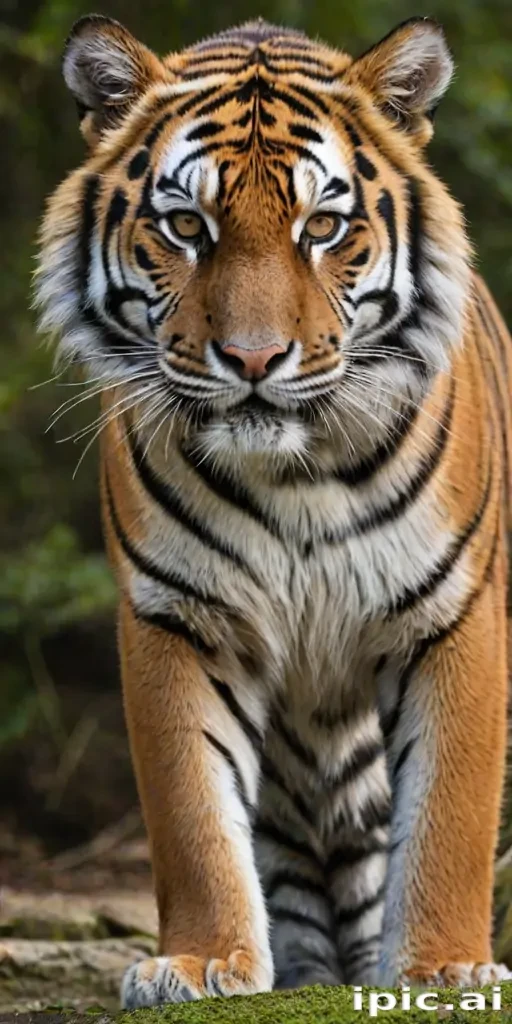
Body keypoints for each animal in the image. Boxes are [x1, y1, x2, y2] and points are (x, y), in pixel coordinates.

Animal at [36, 11, 512, 1007]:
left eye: (323, 227)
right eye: (186, 226)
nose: (254, 360)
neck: (295, 475)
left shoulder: (455, 614)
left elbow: (452, 810)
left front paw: (446, 968)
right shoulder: (178, 615)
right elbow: (191, 815)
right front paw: (202, 961)